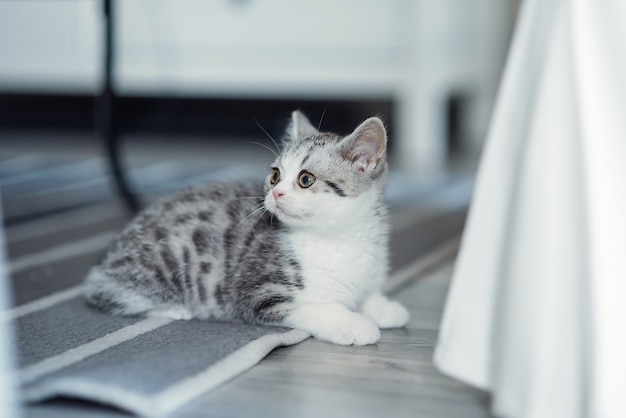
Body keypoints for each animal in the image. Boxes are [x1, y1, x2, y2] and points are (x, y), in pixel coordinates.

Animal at [84, 111, 410, 346]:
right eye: (275, 175)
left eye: (305, 179)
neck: (338, 236)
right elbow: (315, 308)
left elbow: (367, 293)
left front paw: (384, 308)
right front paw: (353, 324)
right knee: (107, 293)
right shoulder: (258, 292)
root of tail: (108, 256)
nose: (275, 193)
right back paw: (177, 308)